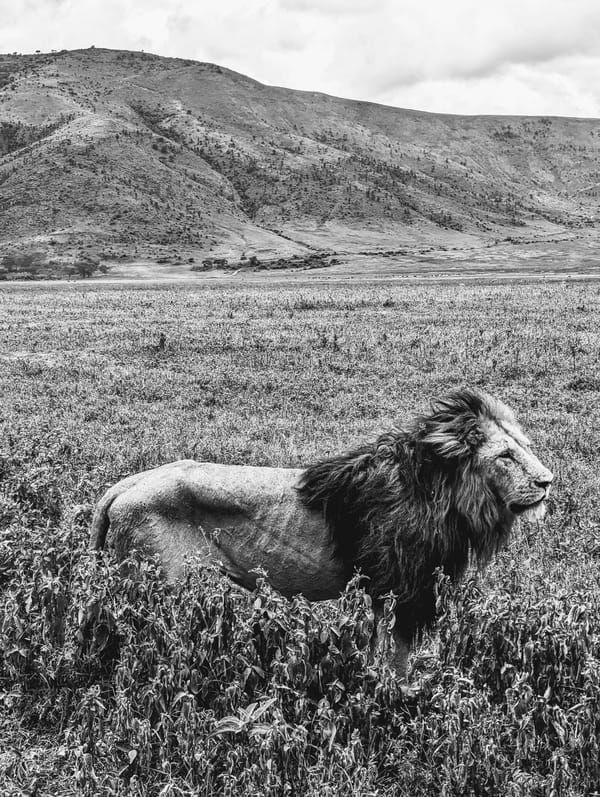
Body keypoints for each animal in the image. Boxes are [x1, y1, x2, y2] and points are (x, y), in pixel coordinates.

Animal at [91, 388, 553, 684]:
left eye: (525, 447)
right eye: (505, 456)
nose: (548, 482)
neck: (443, 495)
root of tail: (124, 486)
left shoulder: (386, 590)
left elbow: (379, 646)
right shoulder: (403, 587)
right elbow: (398, 654)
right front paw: (399, 694)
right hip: (157, 585)